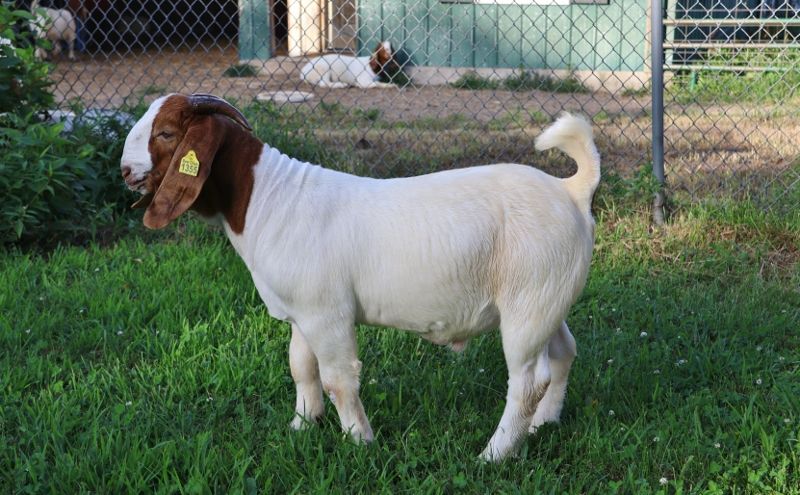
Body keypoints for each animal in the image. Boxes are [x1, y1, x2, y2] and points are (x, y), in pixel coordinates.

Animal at [120, 94, 600, 461]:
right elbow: (301, 367)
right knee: (564, 352)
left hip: (527, 304)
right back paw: (544, 424)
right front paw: (302, 425)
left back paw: (493, 455)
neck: (267, 198)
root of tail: (571, 191)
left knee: (527, 381)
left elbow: (338, 378)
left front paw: (359, 442)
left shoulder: (327, 314)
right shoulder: (302, 313)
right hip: (549, 300)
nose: (125, 170)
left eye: (166, 133)